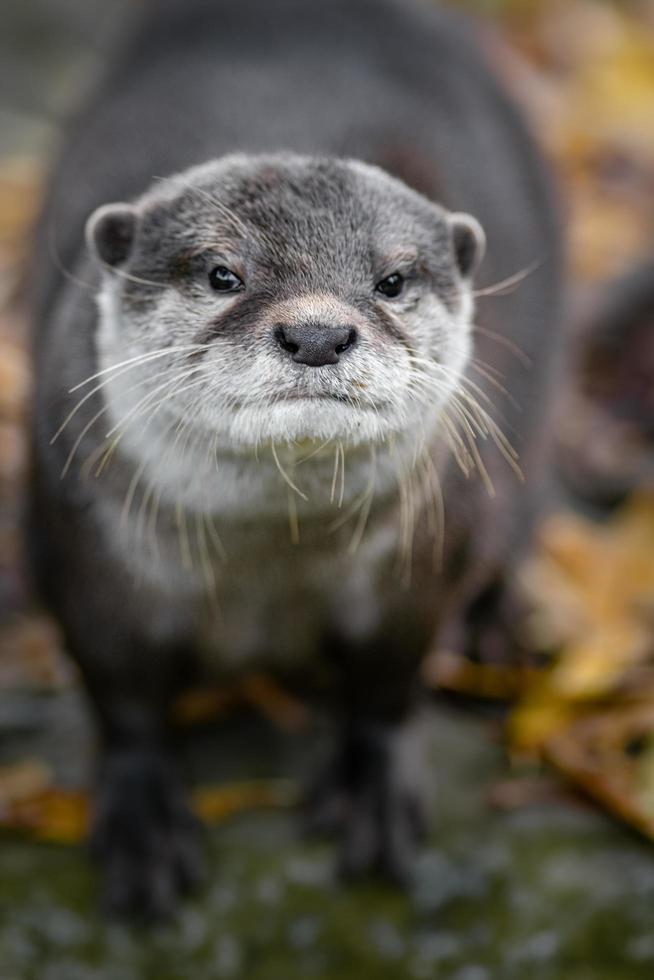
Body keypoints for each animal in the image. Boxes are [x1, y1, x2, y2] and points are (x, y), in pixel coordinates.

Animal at [29, 0, 564, 920]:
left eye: (392, 280)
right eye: (222, 274)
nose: (317, 332)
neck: (268, 568)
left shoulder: (418, 565)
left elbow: (391, 680)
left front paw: (374, 785)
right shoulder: (90, 556)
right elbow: (121, 694)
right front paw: (141, 816)